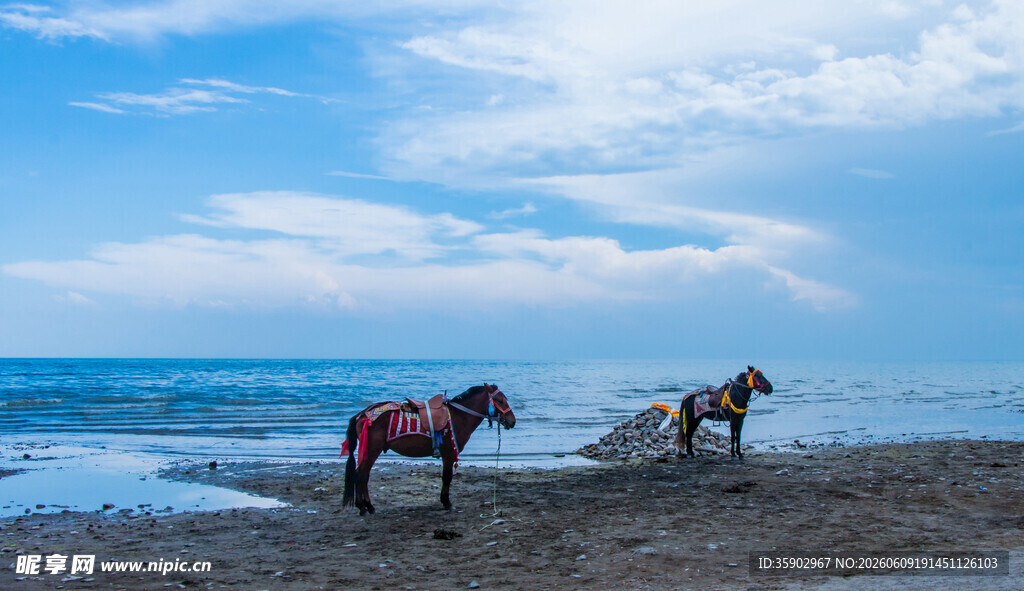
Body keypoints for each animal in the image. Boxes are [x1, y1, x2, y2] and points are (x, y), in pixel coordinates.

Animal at [342, 383, 515, 515]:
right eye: (500, 400)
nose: (512, 421)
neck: (458, 417)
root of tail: (362, 414)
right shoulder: (448, 453)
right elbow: (447, 477)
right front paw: (446, 502)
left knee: (362, 475)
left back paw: (365, 506)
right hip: (372, 450)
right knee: (361, 475)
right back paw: (365, 506)